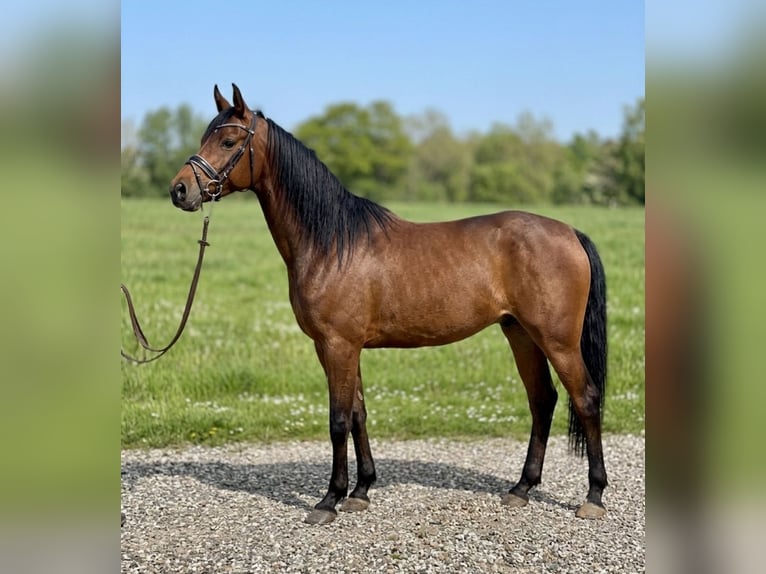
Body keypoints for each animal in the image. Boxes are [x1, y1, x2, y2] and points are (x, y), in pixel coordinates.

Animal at [169, 84, 609, 524]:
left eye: (228, 141)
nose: (179, 190)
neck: (332, 243)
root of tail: (570, 232)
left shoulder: (338, 345)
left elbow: (338, 420)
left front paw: (329, 499)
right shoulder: (341, 347)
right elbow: (358, 414)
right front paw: (361, 490)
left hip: (557, 340)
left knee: (586, 399)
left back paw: (594, 496)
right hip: (520, 333)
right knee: (543, 400)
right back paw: (521, 488)